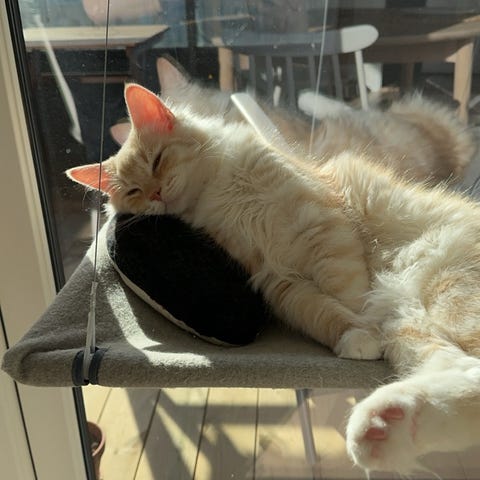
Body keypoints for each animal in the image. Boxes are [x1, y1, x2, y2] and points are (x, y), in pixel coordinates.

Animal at [68, 83, 480, 475]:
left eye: (156, 160)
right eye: (133, 191)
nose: (154, 193)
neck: (218, 195)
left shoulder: (322, 225)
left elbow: (346, 290)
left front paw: (361, 322)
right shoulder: (277, 281)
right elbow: (325, 313)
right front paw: (356, 335)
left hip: (447, 294)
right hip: (413, 326)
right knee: (462, 374)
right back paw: (384, 426)